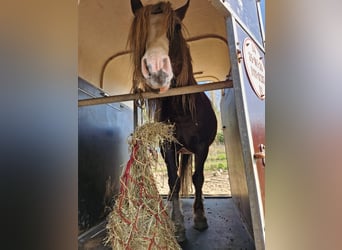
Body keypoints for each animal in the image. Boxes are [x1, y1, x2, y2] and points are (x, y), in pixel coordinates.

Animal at [128, 0, 216, 242]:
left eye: (176, 27)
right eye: (141, 28)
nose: (156, 68)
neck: (182, 109)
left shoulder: (202, 148)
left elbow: (198, 178)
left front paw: (200, 218)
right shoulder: (168, 146)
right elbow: (173, 181)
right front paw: (177, 225)